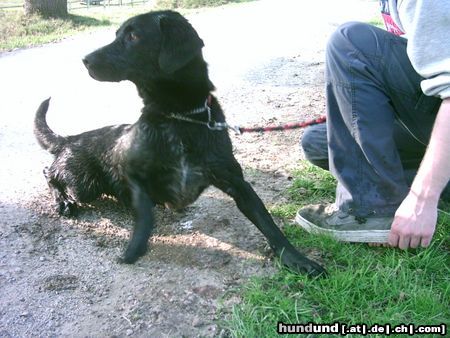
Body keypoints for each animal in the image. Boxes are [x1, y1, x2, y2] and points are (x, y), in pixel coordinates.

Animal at [33, 10, 326, 276]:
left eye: (133, 36)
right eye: (117, 34)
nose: (85, 60)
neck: (181, 117)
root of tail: (70, 138)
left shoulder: (237, 181)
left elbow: (268, 223)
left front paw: (298, 260)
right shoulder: (131, 173)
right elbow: (144, 214)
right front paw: (135, 248)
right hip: (84, 184)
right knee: (49, 173)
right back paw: (64, 202)